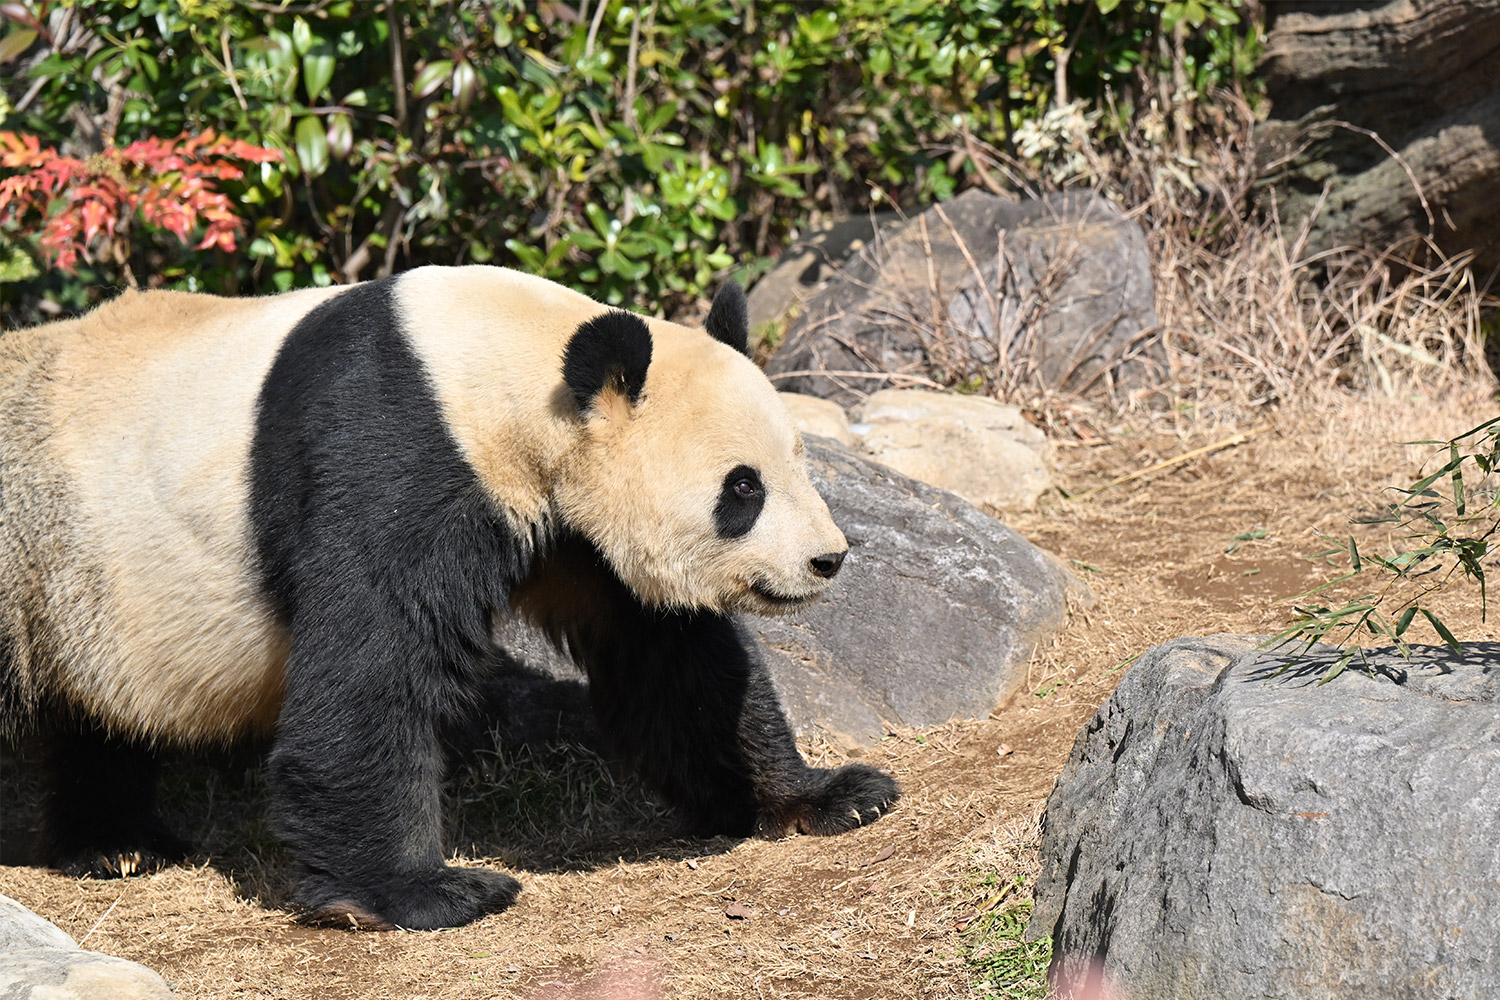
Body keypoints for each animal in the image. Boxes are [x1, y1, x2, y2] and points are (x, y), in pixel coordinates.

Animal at [0, 265, 888, 929]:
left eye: (800, 460)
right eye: (743, 488)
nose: (827, 560)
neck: (501, 368)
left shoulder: (573, 527)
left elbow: (675, 661)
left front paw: (826, 796)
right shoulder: (390, 448)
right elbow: (371, 658)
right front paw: (426, 891)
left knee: (98, 717)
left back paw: (117, 845)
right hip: (34, 543)